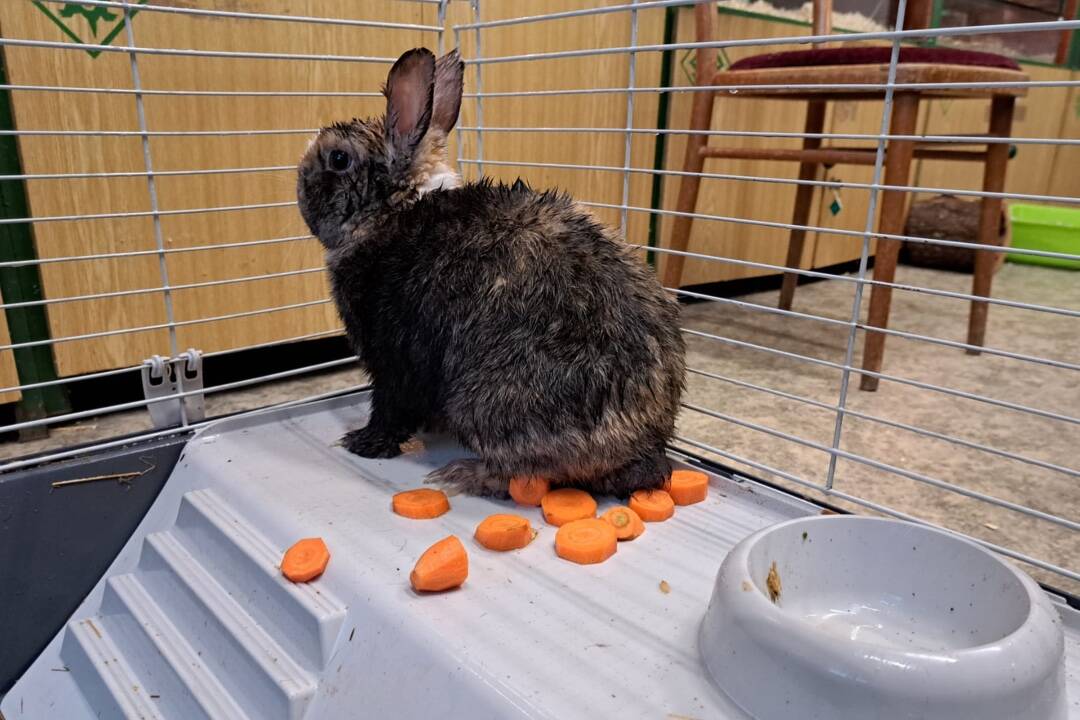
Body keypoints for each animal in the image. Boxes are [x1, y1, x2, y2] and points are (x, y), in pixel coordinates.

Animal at [295, 47, 682, 498]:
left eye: (338, 159)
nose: (298, 179)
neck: (391, 211)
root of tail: (641, 448)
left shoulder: (389, 354)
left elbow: (390, 406)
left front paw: (362, 442)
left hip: (485, 402)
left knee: (523, 474)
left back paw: (461, 473)